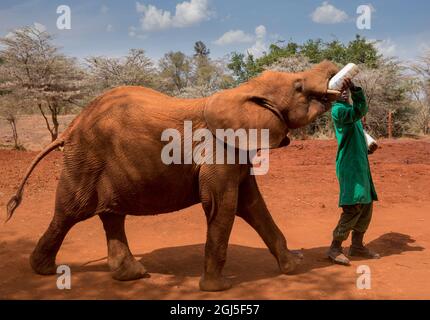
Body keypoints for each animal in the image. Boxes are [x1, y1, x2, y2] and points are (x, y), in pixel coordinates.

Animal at [5, 59, 340, 290]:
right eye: (299, 86)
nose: (338, 71)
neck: (243, 90)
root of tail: (71, 127)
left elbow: (252, 205)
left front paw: (293, 266)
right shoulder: (218, 150)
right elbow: (223, 206)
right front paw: (219, 288)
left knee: (111, 214)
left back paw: (132, 276)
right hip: (85, 159)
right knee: (70, 212)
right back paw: (43, 270)